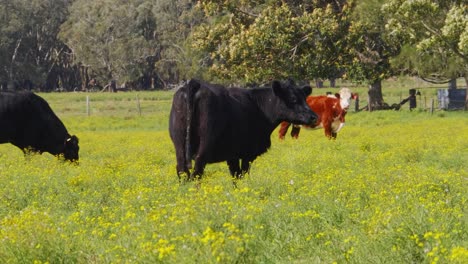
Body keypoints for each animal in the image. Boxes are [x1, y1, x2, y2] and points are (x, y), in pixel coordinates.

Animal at [168, 79, 318, 180]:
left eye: (305, 98)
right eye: (293, 99)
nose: (313, 117)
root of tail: (194, 83)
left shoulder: (232, 154)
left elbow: (235, 176)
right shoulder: (248, 153)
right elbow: (242, 174)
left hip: (179, 144)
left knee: (182, 170)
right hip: (205, 143)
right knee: (197, 172)